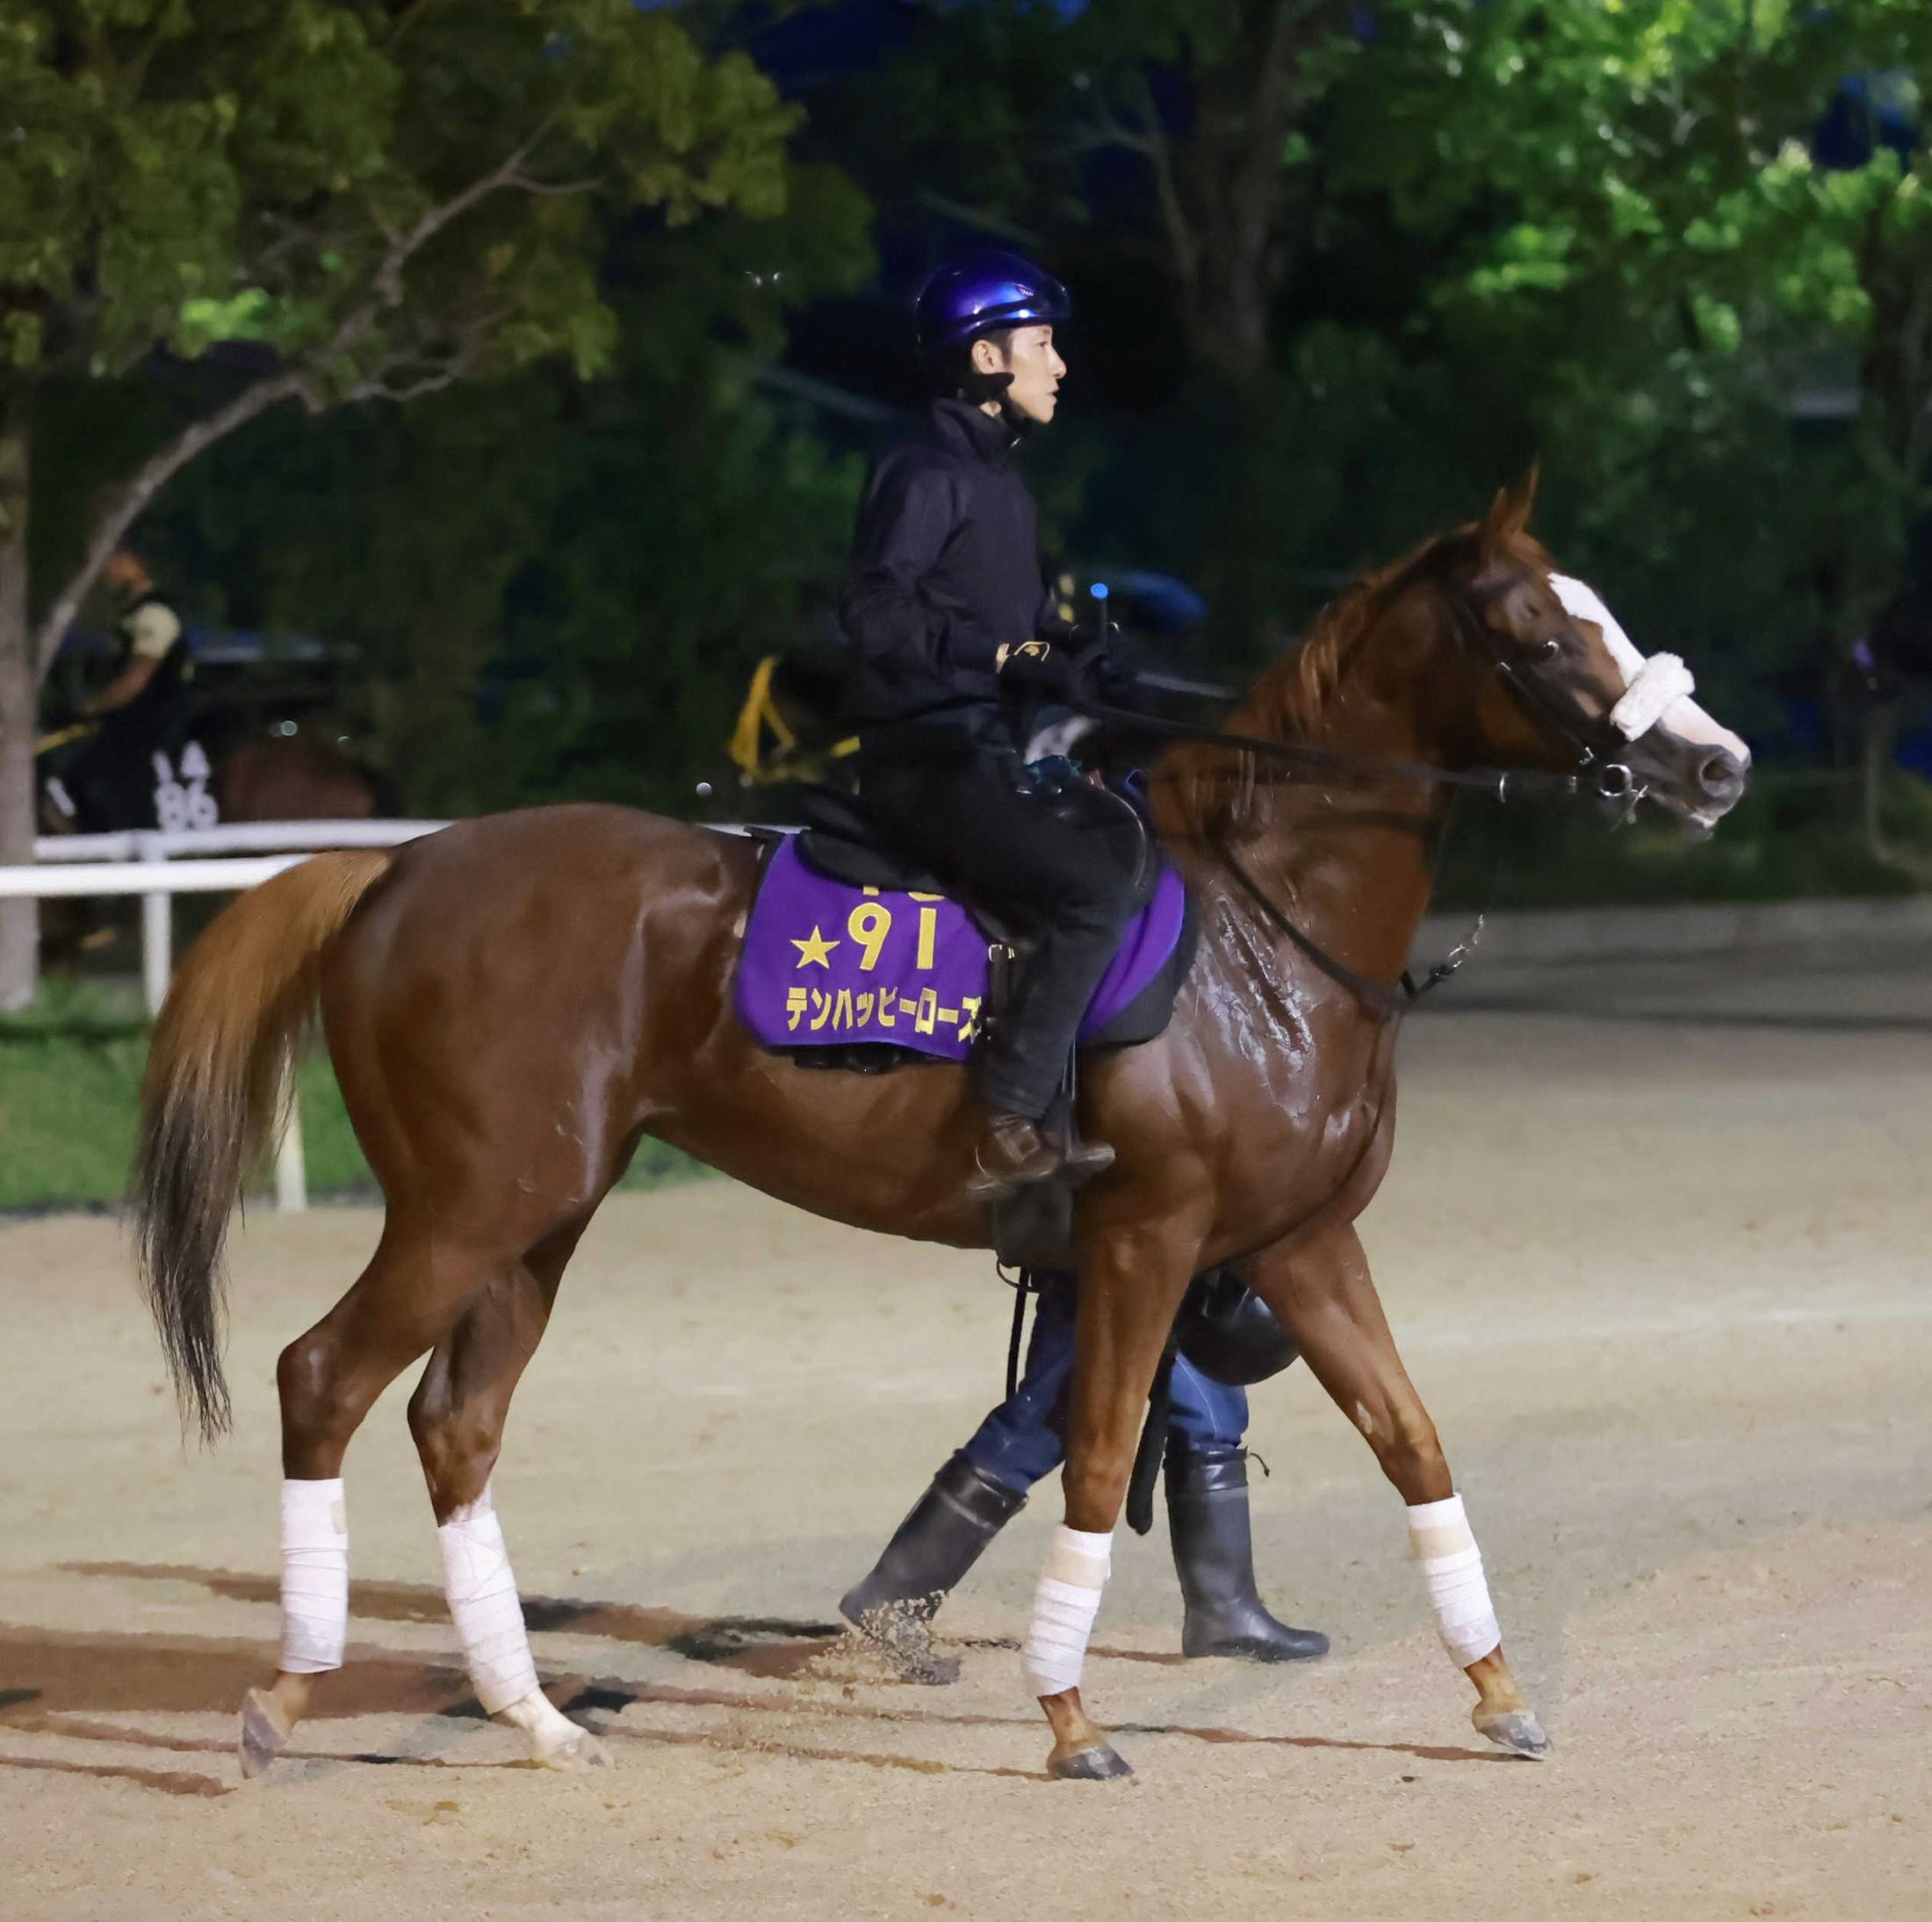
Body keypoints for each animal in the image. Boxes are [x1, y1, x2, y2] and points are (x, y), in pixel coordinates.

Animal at [128, 488, 1746, 1784]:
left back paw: (535, 1717)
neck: (1263, 921)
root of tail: (389, 870)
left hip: (538, 1219)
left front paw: (1499, 1691)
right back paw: (286, 1694)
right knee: (322, 1377)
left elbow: (1413, 1442)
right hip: (466, 1205)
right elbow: (1095, 1458)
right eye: (1541, 630)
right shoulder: (1148, 1239)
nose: (1717, 764)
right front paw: (1074, 1719)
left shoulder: (1299, 1239)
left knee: (455, 1425)